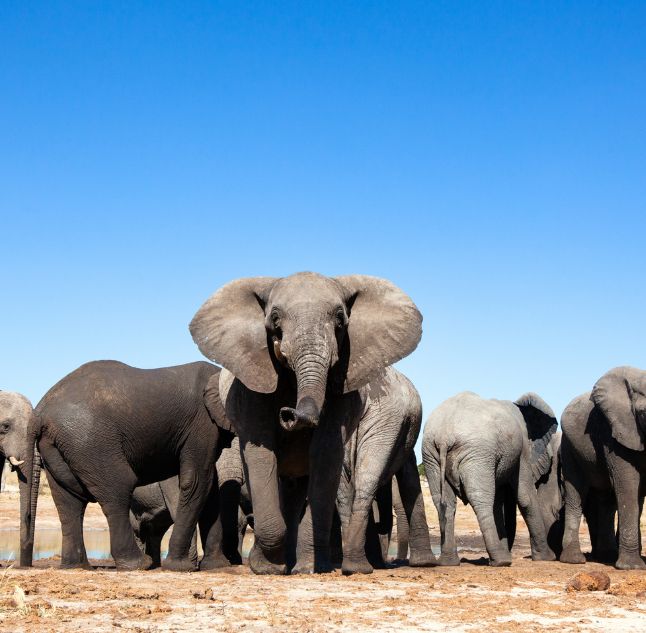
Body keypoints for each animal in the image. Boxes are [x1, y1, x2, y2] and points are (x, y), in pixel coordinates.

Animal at [12, 360, 234, 571]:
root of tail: (39, 412)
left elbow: (210, 487)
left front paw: (217, 566)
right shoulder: (202, 424)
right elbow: (196, 481)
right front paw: (180, 567)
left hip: (59, 445)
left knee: (68, 501)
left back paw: (77, 566)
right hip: (91, 440)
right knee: (117, 490)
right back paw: (139, 564)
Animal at [190, 272, 422, 574]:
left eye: (340, 319)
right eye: (275, 319)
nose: (289, 414)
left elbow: (325, 454)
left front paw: (308, 568)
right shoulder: (251, 384)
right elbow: (261, 453)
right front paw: (267, 568)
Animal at [422, 392, 557, 567]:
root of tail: (445, 435)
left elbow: (498, 503)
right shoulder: (522, 452)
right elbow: (525, 498)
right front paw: (547, 558)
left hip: (431, 455)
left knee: (443, 502)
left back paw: (449, 562)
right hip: (476, 453)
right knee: (481, 499)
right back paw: (501, 561)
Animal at [562, 367, 646, 570]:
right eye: (644, 413)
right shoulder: (614, 432)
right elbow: (628, 485)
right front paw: (632, 567)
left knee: (606, 500)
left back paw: (607, 556)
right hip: (569, 447)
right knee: (576, 493)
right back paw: (574, 560)